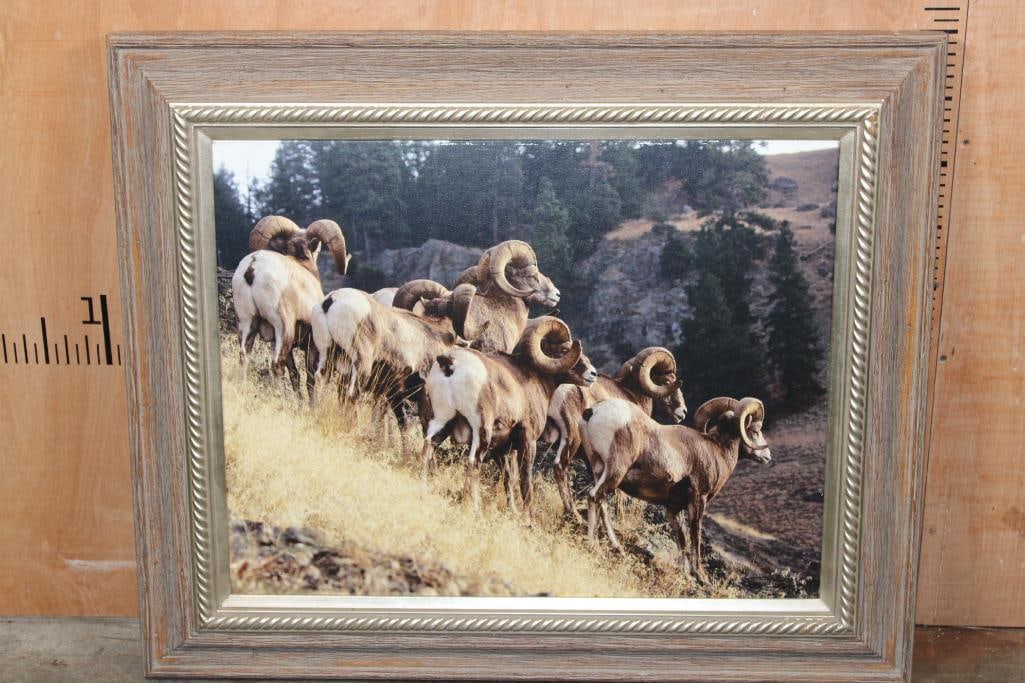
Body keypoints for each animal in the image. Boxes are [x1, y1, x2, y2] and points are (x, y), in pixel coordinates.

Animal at [232, 215, 350, 394]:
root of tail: (252, 267)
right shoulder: (311, 344)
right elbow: (309, 379)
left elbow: (295, 374)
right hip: (283, 327)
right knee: (276, 364)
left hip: (246, 324)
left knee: (243, 357)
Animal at [419, 317, 598, 516]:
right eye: (564, 350)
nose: (593, 374)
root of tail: (450, 363)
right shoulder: (528, 440)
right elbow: (524, 480)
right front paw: (527, 516)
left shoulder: (502, 448)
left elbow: (508, 479)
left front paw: (512, 511)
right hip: (481, 431)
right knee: (473, 463)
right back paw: (474, 508)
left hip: (442, 422)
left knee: (427, 449)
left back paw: (423, 488)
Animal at [578, 396, 771, 583]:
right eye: (755, 431)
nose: (767, 456)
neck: (717, 450)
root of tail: (592, 412)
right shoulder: (698, 499)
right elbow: (695, 535)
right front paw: (700, 576)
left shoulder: (673, 508)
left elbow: (682, 537)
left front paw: (684, 574)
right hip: (615, 470)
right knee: (594, 496)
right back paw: (593, 545)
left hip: (597, 470)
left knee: (602, 503)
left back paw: (616, 547)